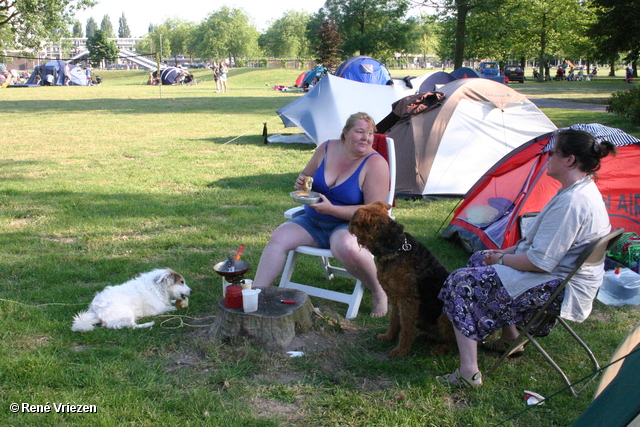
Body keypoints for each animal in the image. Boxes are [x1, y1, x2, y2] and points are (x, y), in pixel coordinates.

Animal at [350, 202, 456, 356]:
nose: (348, 227)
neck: (396, 247)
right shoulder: (395, 298)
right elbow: (394, 321)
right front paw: (388, 337)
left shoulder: (407, 300)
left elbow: (405, 328)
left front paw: (401, 351)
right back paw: (425, 336)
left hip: (445, 316)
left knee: (454, 343)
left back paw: (440, 349)